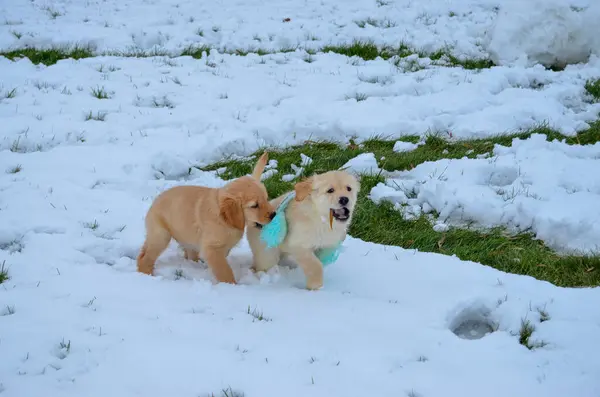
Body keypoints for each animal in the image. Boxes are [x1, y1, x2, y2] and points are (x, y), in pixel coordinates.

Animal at [137, 150, 276, 284]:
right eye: (255, 205)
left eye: (266, 199)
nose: (274, 214)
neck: (225, 220)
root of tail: (154, 203)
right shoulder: (212, 248)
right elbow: (224, 270)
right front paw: (231, 285)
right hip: (161, 235)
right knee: (145, 256)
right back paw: (146, 274)